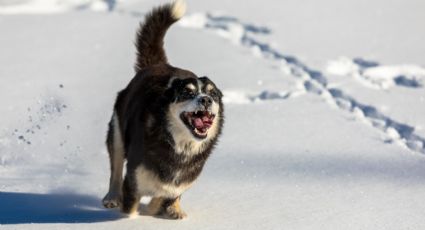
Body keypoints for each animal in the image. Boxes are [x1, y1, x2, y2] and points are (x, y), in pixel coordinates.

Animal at [101, 0, 224, 219]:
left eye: (214, 94)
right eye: (187, 93)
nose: (206, 100)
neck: (180, 146)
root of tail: (157, 65)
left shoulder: (179, 183)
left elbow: (164, 196)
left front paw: (163, 209)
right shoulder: (133, 181)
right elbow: (132, 207)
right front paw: (131, 218)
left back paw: (175, 209)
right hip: (117, 132)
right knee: (115, 169)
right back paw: (112, 197)